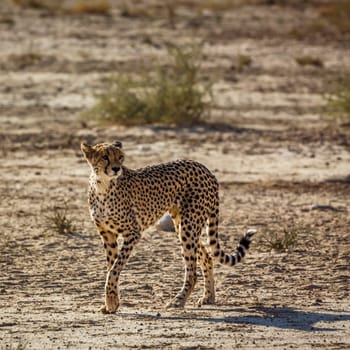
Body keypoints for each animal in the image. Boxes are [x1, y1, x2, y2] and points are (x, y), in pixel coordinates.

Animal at [82, 141, 258, 314]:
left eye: (120, 157)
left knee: (192, 271)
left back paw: (178, 300)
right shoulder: (107, 234)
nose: (116, 168)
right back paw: (208, 297)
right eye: (105, 157)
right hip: (182, 225)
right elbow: (111, 267)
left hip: (188, 226)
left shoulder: (132, 233)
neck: (102, 186)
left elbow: (114, 269)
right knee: (207, 257)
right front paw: (111, 302)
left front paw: (111, 302)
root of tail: (204, 168)